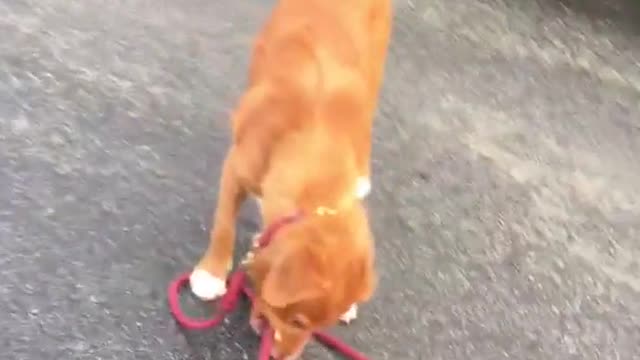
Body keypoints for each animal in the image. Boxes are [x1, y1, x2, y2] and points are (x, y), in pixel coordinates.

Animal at [188, 0, 392, 358]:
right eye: (297, 321)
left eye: (322, 327)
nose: (285, 357)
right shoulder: (236, 167)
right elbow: (224, 225)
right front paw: (211, 273)